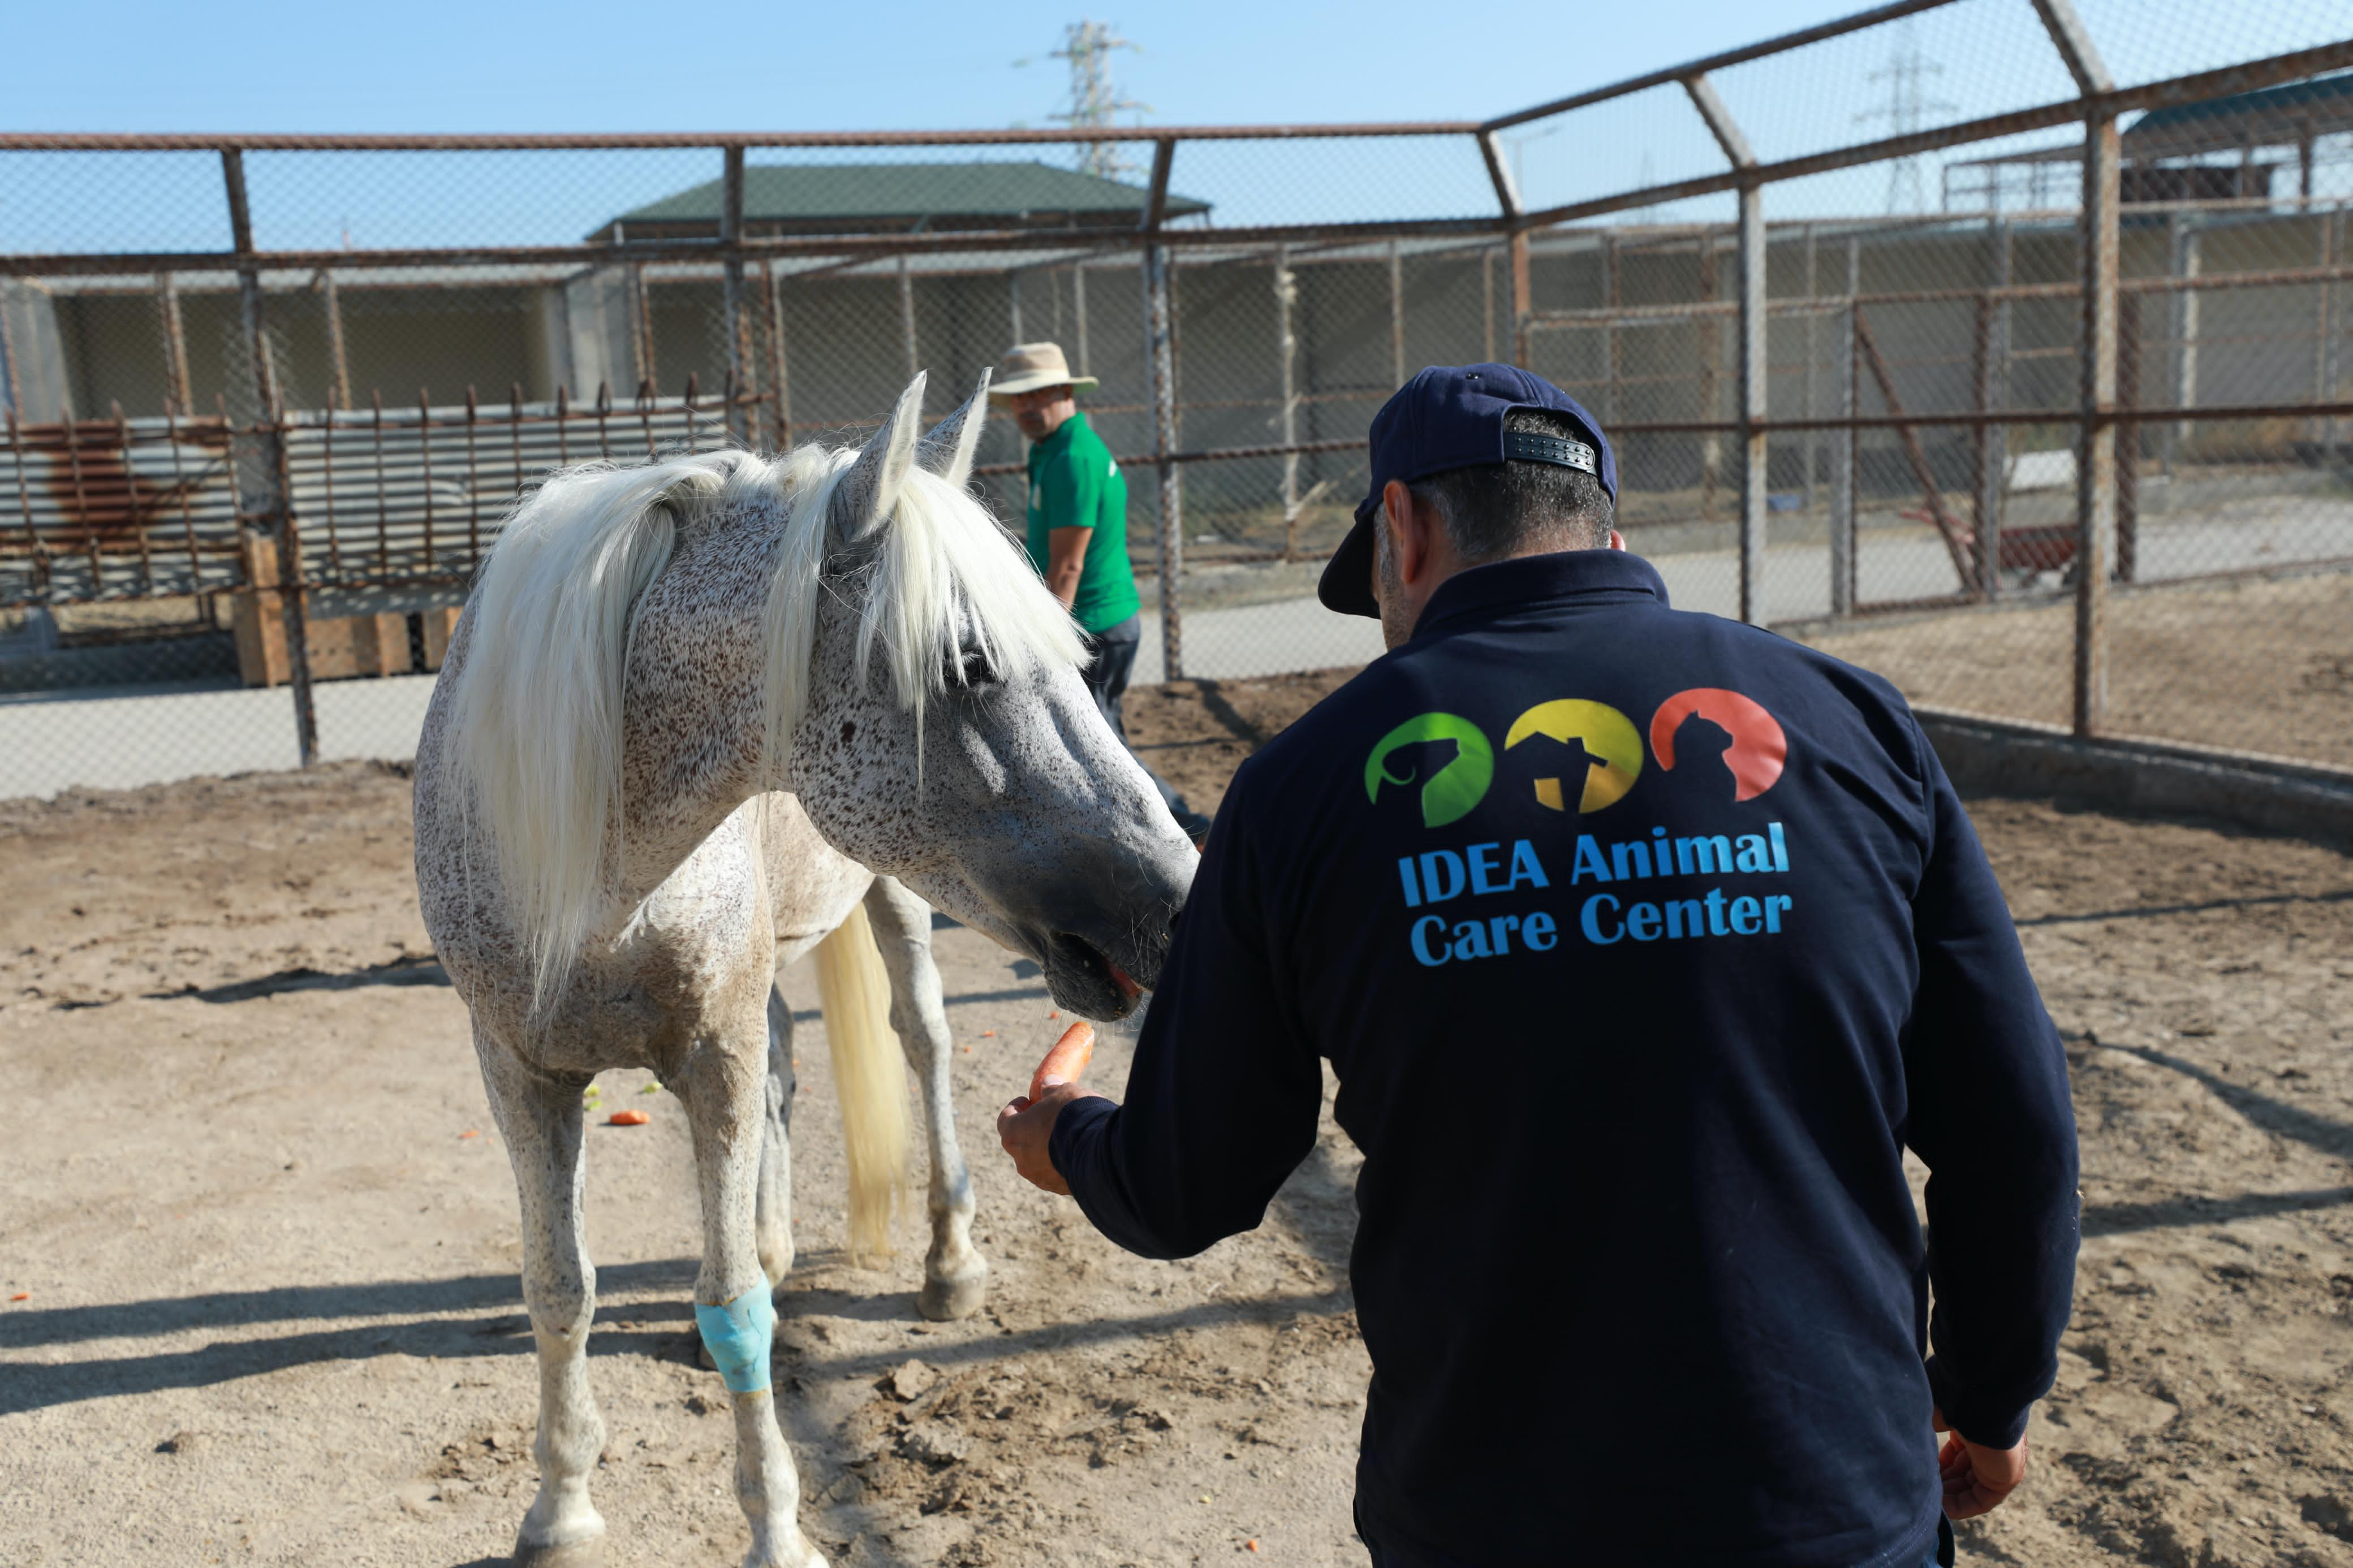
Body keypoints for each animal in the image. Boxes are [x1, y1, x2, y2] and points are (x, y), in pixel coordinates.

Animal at [407, 371, 1204, 1568]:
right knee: (787, 1074)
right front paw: (560, 1506)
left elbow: (733, 1303)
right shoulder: (521, 1073)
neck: (600, 872)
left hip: (894, 903)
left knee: (922, 1041)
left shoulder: (714, 1052)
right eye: (968, 662)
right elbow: (558, 1288)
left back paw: (948, 1261)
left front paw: (779, 1529)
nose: (1179, 892)